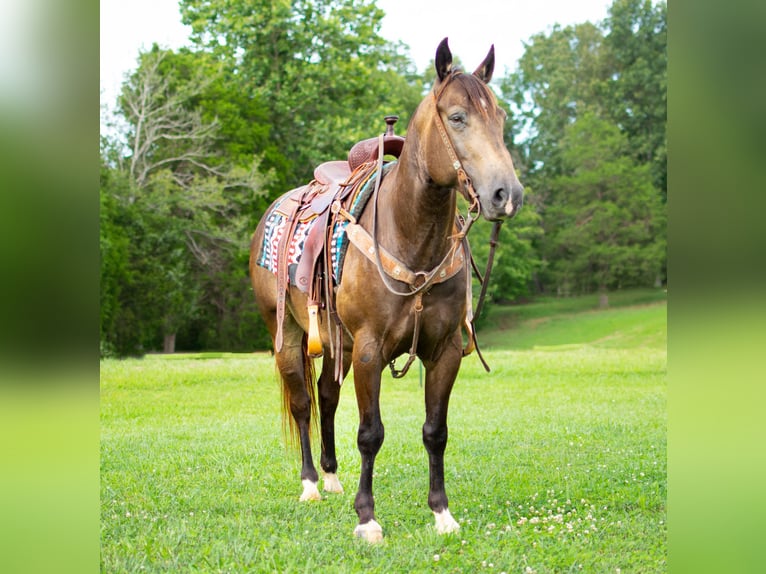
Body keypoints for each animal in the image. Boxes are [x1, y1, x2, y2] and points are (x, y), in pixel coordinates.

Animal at [249, 37, 524, 544]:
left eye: (500, 117)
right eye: (458, 117)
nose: (506, 195)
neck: (409, 234)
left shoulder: (445, 350)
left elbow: (435, 431)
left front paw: (442, 513)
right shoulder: (370, 350)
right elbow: (370, 433)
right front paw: (367, 518)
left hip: (337, 343)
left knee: (326, 395)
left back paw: (331, 476)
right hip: (289, 336)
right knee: (303, 402)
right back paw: (310, 484)